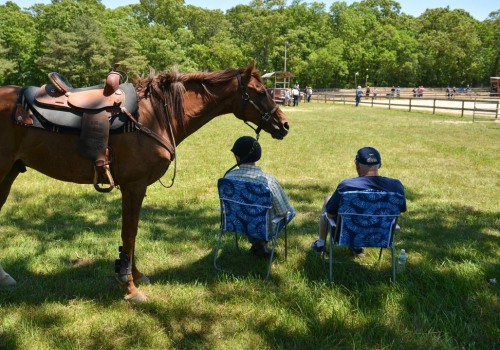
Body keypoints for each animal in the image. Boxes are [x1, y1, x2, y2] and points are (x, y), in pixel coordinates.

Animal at [0, 60, 290, 300]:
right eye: (260, 92)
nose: (285, 125)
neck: (156, 115)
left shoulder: (136, 188)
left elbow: (133, 232)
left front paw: (134, 275)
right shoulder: (134, 186)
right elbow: (129, 232)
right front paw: (128, 285)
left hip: (9, 174)